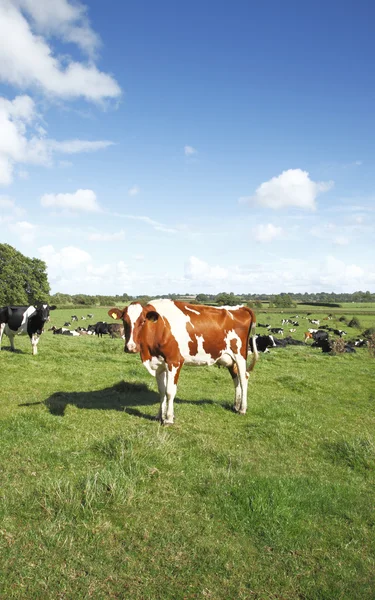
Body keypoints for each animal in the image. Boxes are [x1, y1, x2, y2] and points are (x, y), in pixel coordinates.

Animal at [108, 298, 258, 422]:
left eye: (143, 321)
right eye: (124, 321)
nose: (130, 347)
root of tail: (240, 307)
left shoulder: (174, 362)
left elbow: (169, 391)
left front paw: (168, 419)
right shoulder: (159, 364)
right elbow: (161, 391)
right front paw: (159, 415)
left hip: (240, 355)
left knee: (243, 378)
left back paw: (242, 409)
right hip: (228, 358)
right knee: (236, 378)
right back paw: (236, 406)